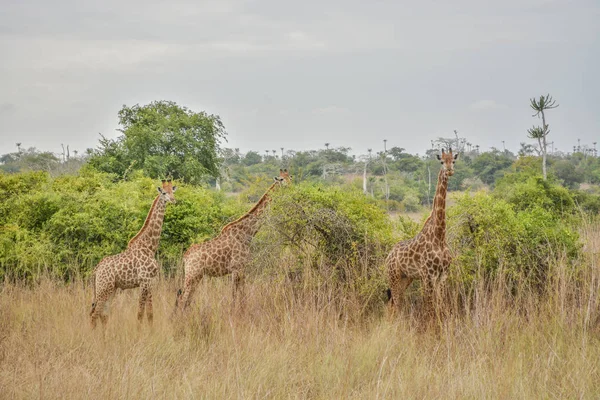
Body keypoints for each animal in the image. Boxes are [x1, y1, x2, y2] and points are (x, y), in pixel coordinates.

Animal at [89, 179, 177, 328]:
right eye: (164, 193)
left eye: (173, 191)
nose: (173, 200)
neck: (149, 247)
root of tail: (96, 269)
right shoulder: (144, 281)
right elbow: (140, 313)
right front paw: (138, 332)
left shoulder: (150, 282)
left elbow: (150, 313)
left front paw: (151, 331)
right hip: (103, 288)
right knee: (94, 314)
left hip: (110, 288)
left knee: (103, 314)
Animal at [175, 168, 292, 312]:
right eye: (281, 179)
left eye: (290, 177)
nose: (291, 187)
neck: (247, 233)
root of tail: (185, 257)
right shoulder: (237, 268)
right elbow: (236, 296)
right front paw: (236, 314)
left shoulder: (240, 269)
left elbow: (240, 295)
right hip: (192, 275)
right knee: (182, 298)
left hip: (197, 276)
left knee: (187, 299)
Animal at [384, 148, 460, 318]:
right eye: (441, 161)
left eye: (453, 160)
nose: (449, 170)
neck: (439, 235)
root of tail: (389, 255)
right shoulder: (428, 275)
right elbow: (429, 308)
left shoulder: (443, 274)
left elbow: (441, 306)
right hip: (393, 276)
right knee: (395, 304)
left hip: (406, 278)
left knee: (393, 304)